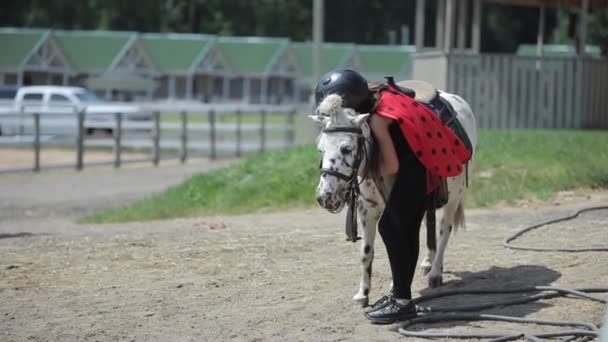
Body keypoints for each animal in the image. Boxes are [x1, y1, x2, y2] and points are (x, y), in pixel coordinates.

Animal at [312, 82, 478, 308]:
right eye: (321, 149)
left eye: (346, 148)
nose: (325, 196)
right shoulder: (368, 209)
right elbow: (366, 252)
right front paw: (362, 294)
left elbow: (398, 246)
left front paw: (394, 288)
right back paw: (428, 263)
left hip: (453, 197)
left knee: (444, 231)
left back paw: (435, 273)